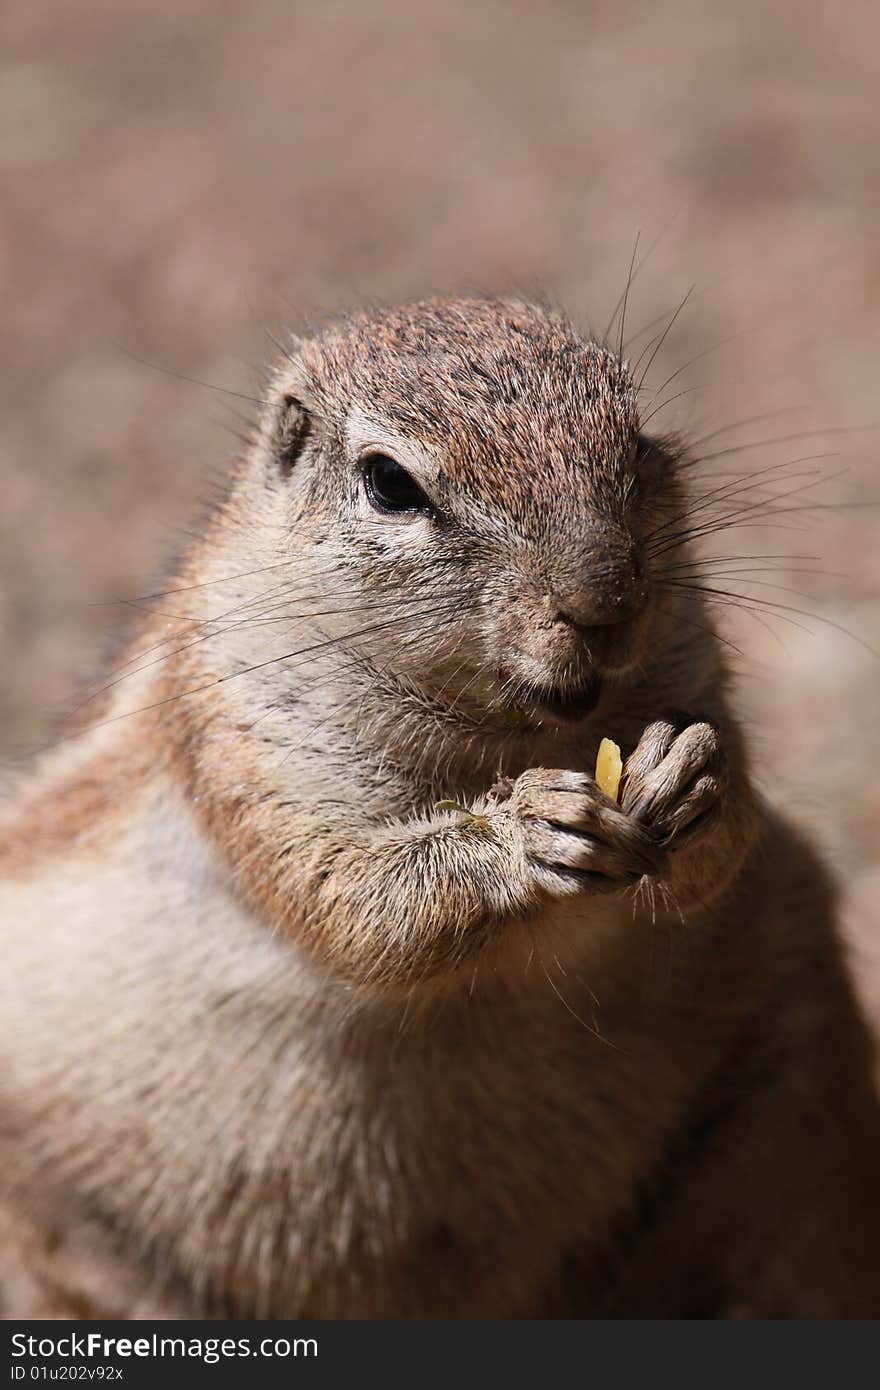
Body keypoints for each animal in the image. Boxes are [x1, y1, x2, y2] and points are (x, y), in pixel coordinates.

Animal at [1, 296, 878, 1312]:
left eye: (638, 439)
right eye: (389, 483)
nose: (603, 601)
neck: (517, 732)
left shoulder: (693, 656)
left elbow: (720, 841)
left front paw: (692, 775)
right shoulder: (238, 732)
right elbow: (349, 899)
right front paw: (523, 834)